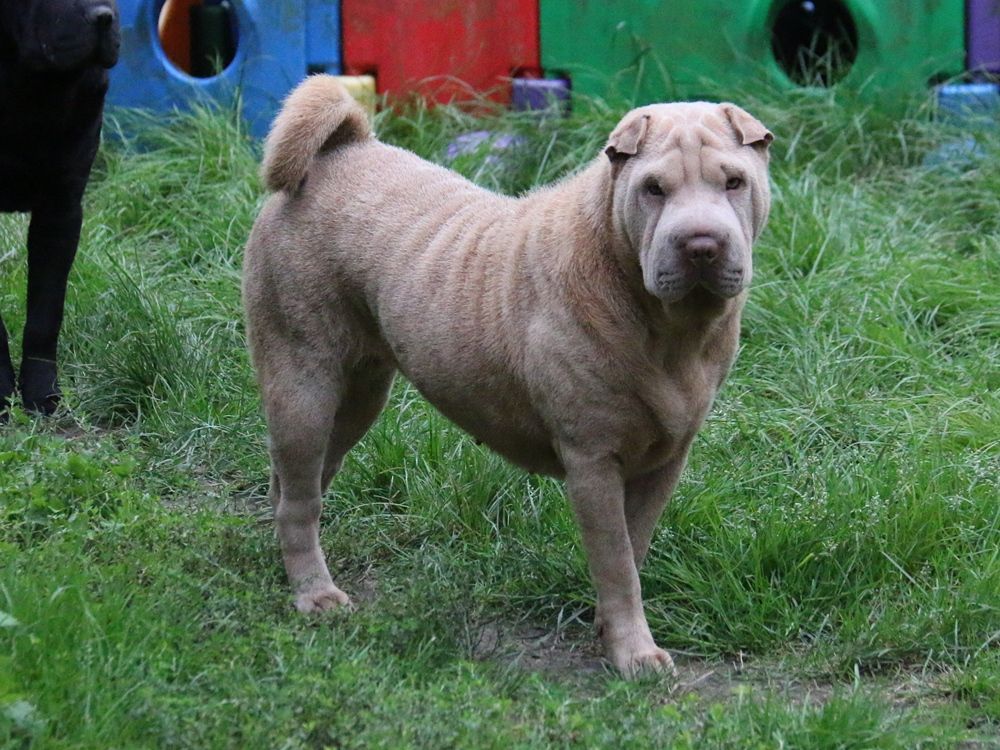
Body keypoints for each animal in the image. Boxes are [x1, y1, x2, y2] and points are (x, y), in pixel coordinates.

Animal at [242, 75, 772, 676]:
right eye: (654, 189)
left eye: (734, 182)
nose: (701, 244)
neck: (666, 329)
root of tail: (334, 152)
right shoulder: (593, 462)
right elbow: (616, 563)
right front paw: (633, 653)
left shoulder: (664, 460)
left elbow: (633, 549)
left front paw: (610, 631)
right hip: (304, 383)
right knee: (300, 495)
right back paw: (316, 594)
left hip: (358, 394)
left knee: (297, 482)